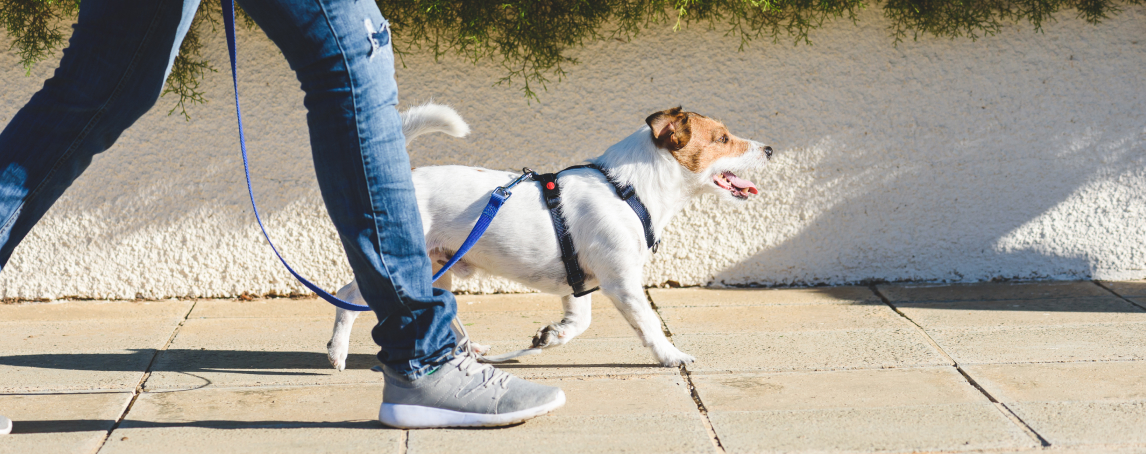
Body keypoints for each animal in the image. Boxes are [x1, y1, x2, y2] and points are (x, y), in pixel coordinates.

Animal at [327, 102, 774, 369]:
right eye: (722, 138)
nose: (770, 149)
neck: (628, 189)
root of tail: (404, 180)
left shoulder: (580, 282)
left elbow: (578, 322)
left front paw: (551, 336)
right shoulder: (623, 283)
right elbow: (649, 325)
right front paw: (671, 355)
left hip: (439, 268)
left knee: (442, 311)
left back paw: (469, 351)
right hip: (403, 264)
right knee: (348, 297)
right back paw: (337, 352)